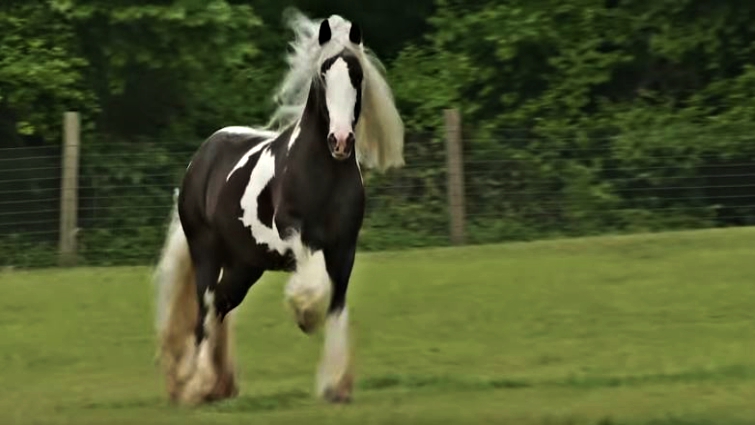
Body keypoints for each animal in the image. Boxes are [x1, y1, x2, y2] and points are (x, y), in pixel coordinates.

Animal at [153, 10, 404, 406]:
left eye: (357, 75)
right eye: (323, 74)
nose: (340, 141)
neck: (321, 173)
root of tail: (201, 157)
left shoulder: (344, 248)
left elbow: (337, 304)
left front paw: (336, 385)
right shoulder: (295, 234)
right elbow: (313, 286)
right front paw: (304, 315)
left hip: (244, 265)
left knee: (220, 305)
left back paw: (217, 386)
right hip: (206, 251)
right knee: (204, 310)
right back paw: (196, 386)